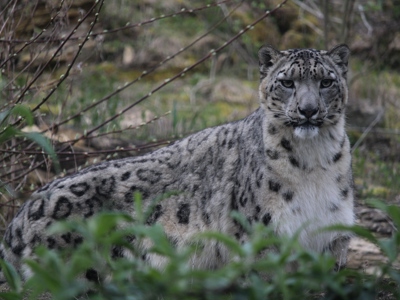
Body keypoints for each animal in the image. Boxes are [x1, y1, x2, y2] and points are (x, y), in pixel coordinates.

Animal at [0, 44, 354, 282]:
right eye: (287, 82)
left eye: (326, 82)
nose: (308, 110)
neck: (312, 163)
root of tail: (16, 222)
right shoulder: (262, 239)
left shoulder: (333, 240)